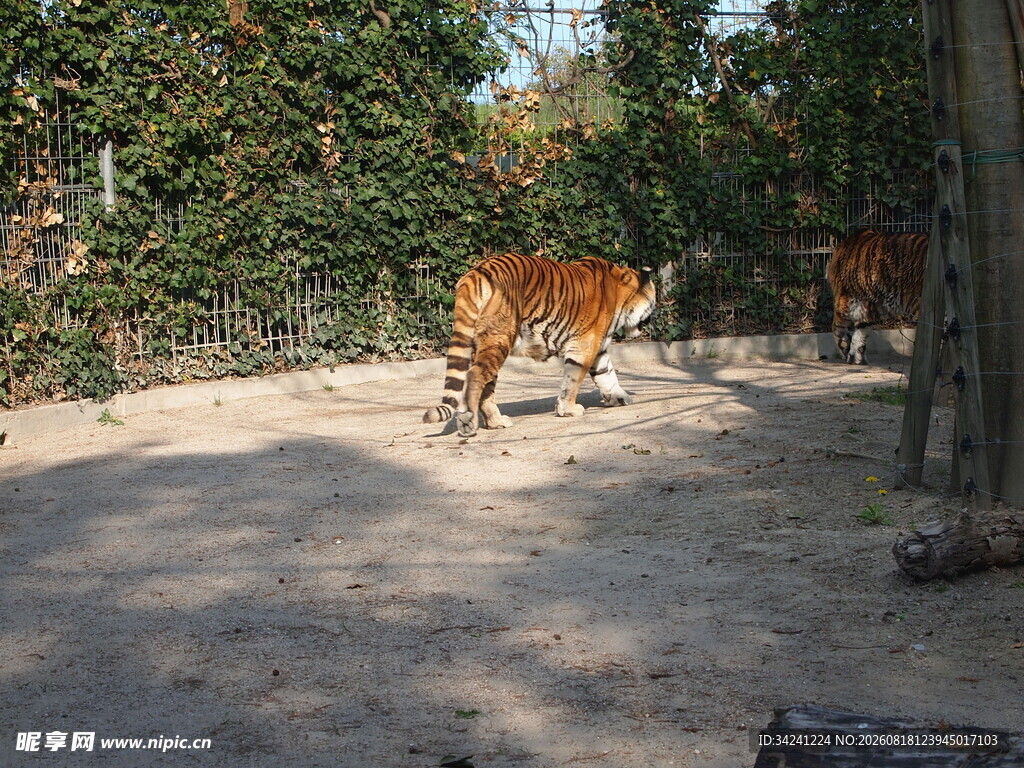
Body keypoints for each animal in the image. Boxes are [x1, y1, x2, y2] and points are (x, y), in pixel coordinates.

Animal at [423, 252, 656, 437]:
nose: (652, 319)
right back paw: (469, 423)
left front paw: (620, 397)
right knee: (474, 376)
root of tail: (476, 272)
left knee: (484, 385)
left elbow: (607, 375)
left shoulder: (598, 349)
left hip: (485, 345)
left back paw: (496, 422)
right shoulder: (584, 346)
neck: (621, 297)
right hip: (499, 338)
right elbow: (573, 381)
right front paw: (569, 410)